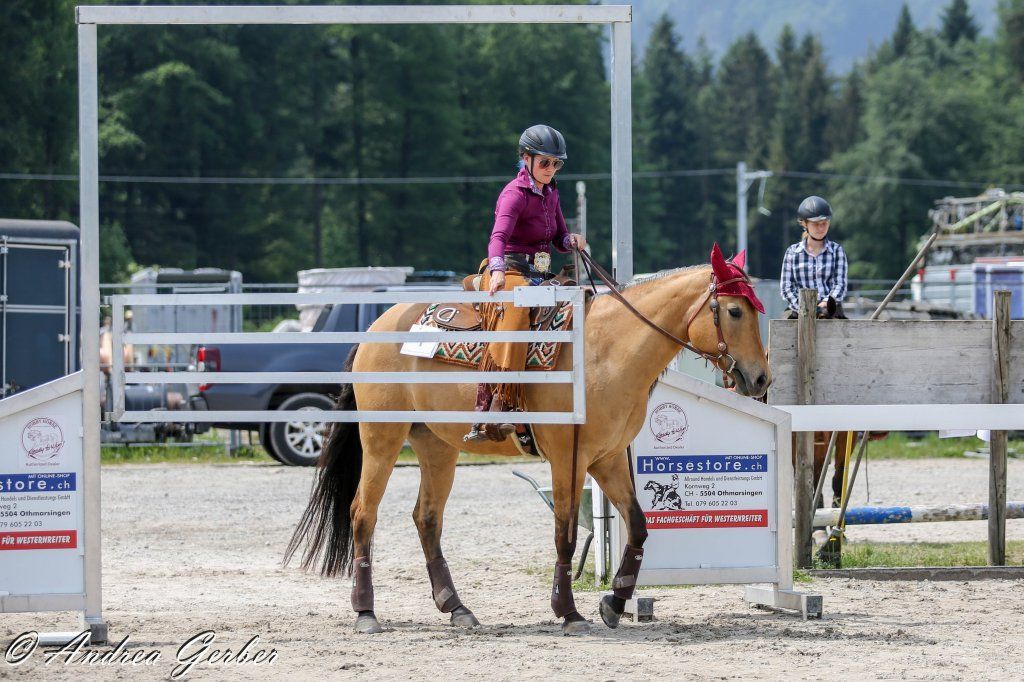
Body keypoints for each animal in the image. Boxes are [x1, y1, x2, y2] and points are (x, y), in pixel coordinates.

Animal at [285, 245, 771, 636]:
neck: (605, 351)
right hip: (382, 436)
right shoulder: (568, 459)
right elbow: (565, 535)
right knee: (362, 514)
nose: (761, 378)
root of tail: (375, 329)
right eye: (734, 311)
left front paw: (613, 604)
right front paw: (568, 611)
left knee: (427, 519)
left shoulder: (609, 458)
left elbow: (637, 526)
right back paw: (366, 613)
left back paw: (456, 608)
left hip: (437, 446)